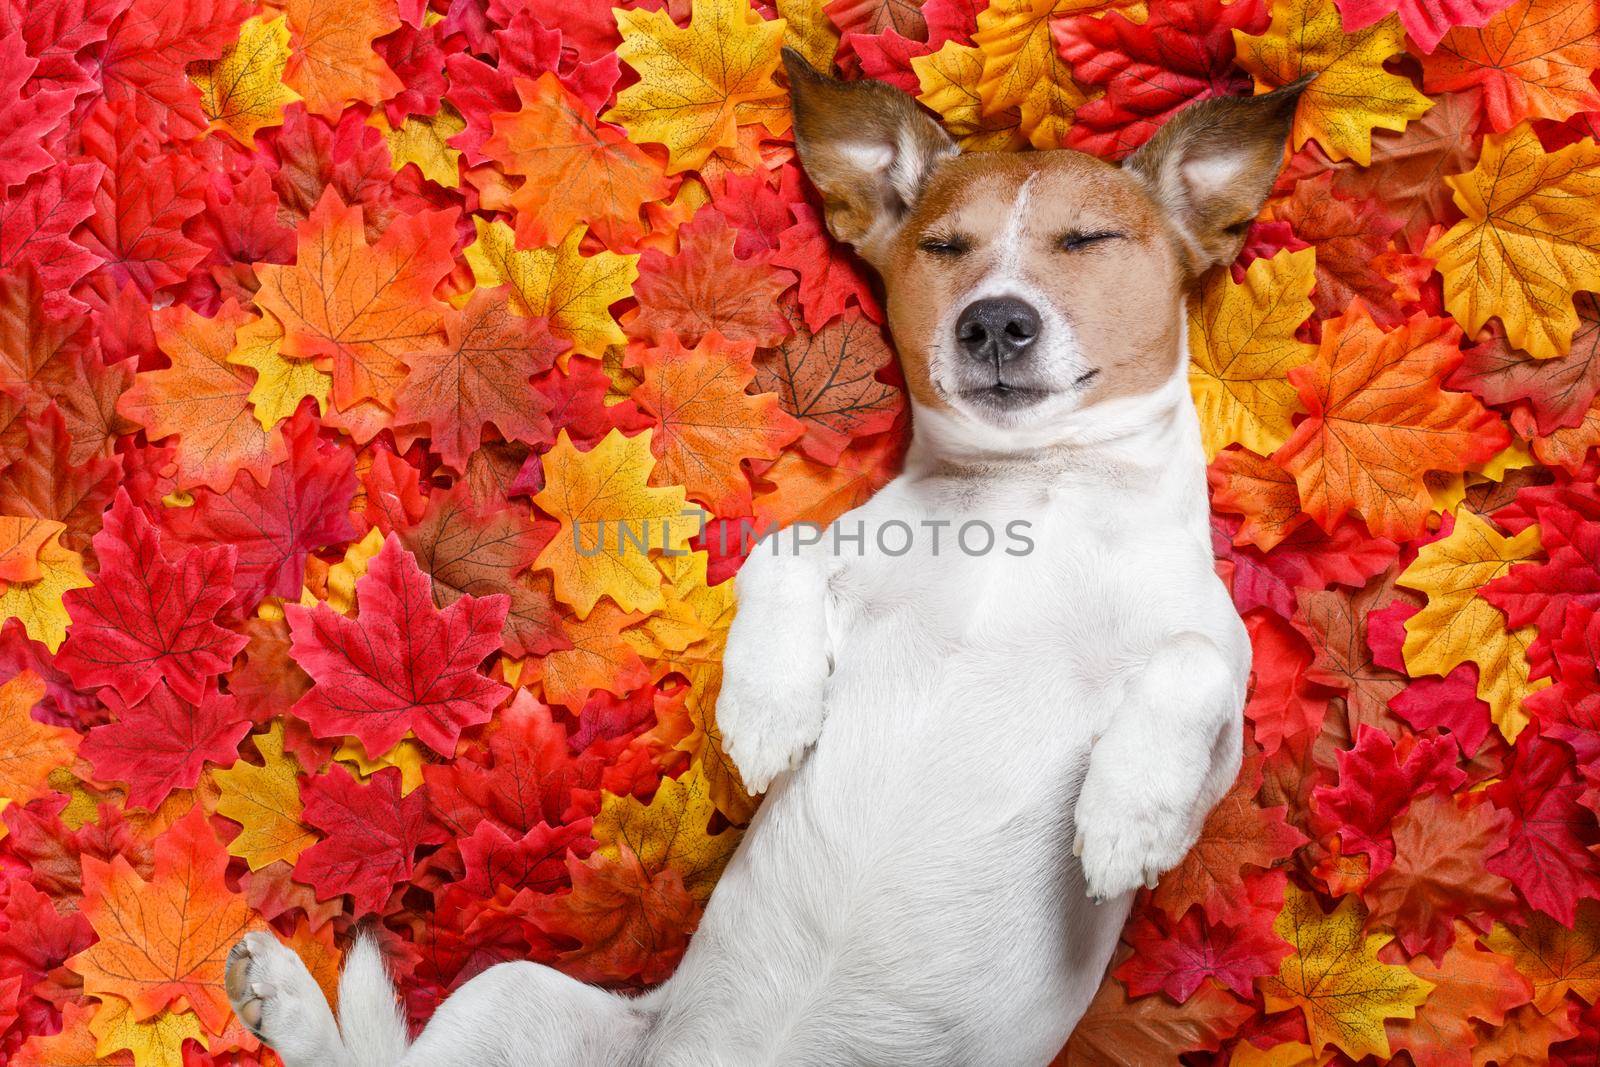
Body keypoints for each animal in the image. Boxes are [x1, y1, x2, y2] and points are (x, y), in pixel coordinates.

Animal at [225, 54, 1305, 1067]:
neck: (1030, 491)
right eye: (943, 247)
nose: (994, 319)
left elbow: (1189, 666)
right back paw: (281, 993)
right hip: (512, 992)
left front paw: (1128, 817)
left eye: (1088, 241)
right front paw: (770, 710)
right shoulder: (839, 546)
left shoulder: (1223, 720)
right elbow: (781, 550)